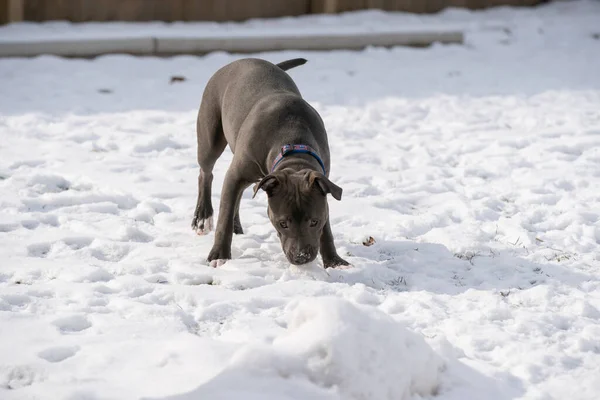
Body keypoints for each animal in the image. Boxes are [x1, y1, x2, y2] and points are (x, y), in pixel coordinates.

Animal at [192, 57, 350, 268]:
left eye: (314, 222)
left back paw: (236, 225)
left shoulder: (323, 188)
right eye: (282, 223)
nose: (301, 257)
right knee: (206, 173)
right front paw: (219, 256)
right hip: (210, 137)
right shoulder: (235, 174)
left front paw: (334, 262)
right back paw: (202, 218)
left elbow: (327, 229)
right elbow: (223, 218)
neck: (293, 145)